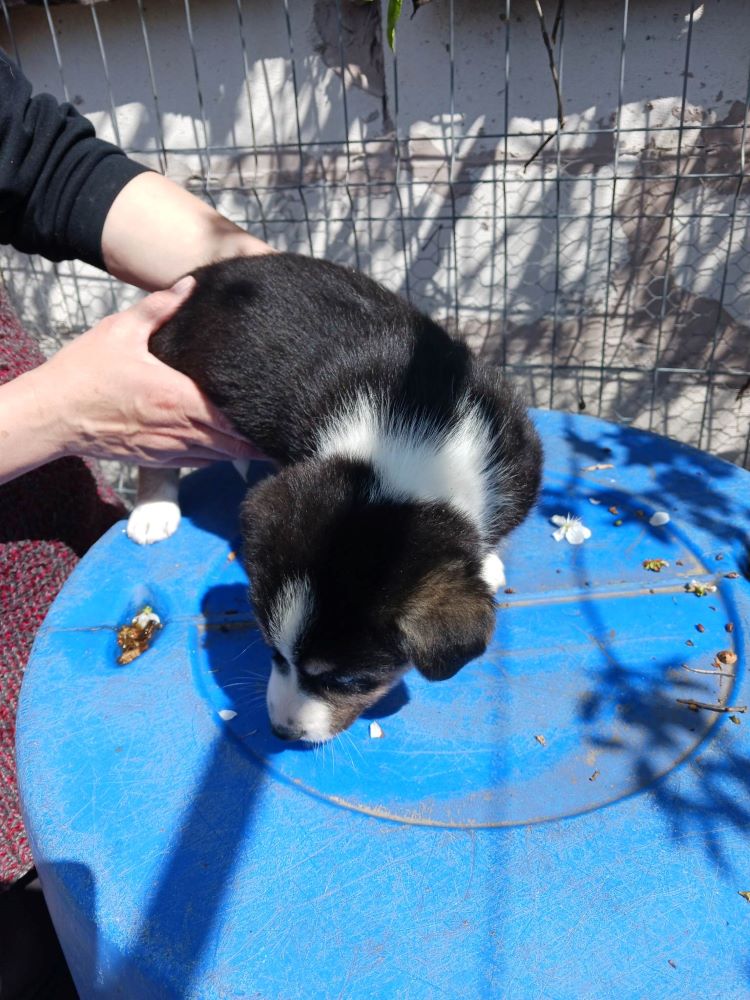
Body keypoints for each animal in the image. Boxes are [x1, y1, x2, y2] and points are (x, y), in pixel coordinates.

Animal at [126, 254, 544, 748]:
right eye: (272, 652)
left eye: (347, 681)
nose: (281, 733)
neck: (410, 449)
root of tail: (203, 275)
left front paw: (488, 562)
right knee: (152, 454)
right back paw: (152, 512)